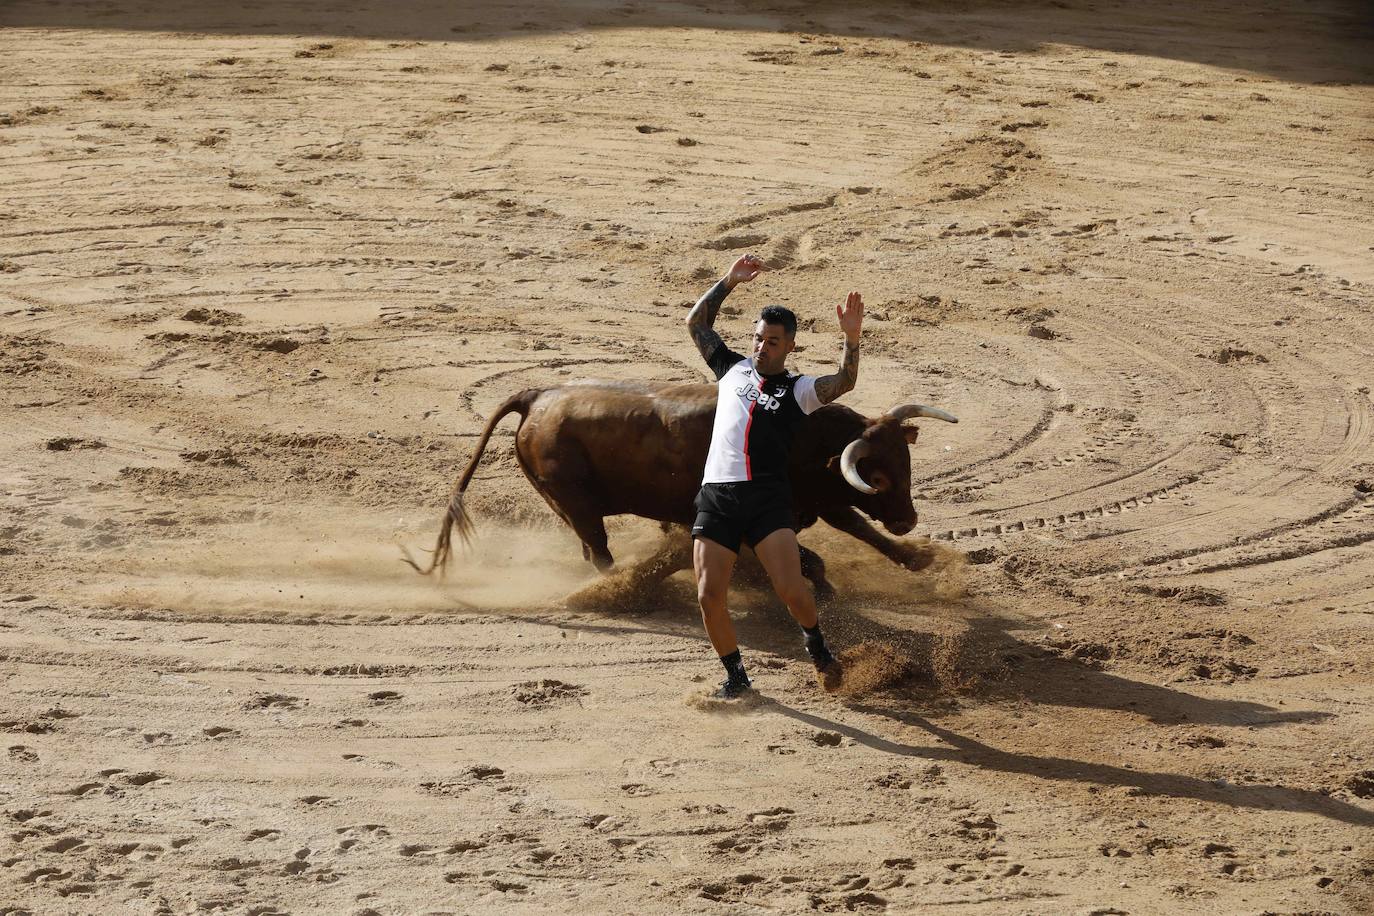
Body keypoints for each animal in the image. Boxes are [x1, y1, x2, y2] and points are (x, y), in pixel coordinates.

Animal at [403, 381, 956, 590]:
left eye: (906, 460)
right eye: (876, 476)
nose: (909, 520)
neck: (803, 437)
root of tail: (538, 396)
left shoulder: (819, 497)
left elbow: (858, 526)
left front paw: (919, 559)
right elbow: (813, 555)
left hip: (563, 503)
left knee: (588, 547)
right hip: (576, 501)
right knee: (599, 550)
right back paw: (627, 586)